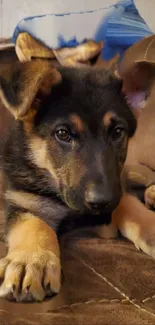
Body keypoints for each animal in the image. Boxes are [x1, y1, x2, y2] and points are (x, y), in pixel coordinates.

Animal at [0, 58, 153, 302]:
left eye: (118, 132)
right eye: (63, 134)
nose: (101, 202)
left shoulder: (115, 191)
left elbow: (127, 201)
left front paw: (150, 226)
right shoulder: (19, 202)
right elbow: (33, 223)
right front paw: (32, 260)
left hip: (133, 172)